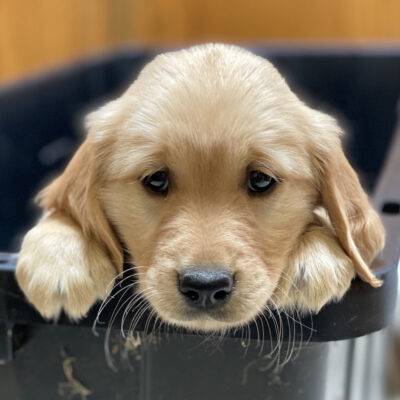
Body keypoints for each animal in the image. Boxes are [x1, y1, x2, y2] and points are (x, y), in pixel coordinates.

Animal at [15, 43, 384, 332]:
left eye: (261, 179)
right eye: (156, 179)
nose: (206, 286)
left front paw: (313, 259)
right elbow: (62, 211)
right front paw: (61, 259)